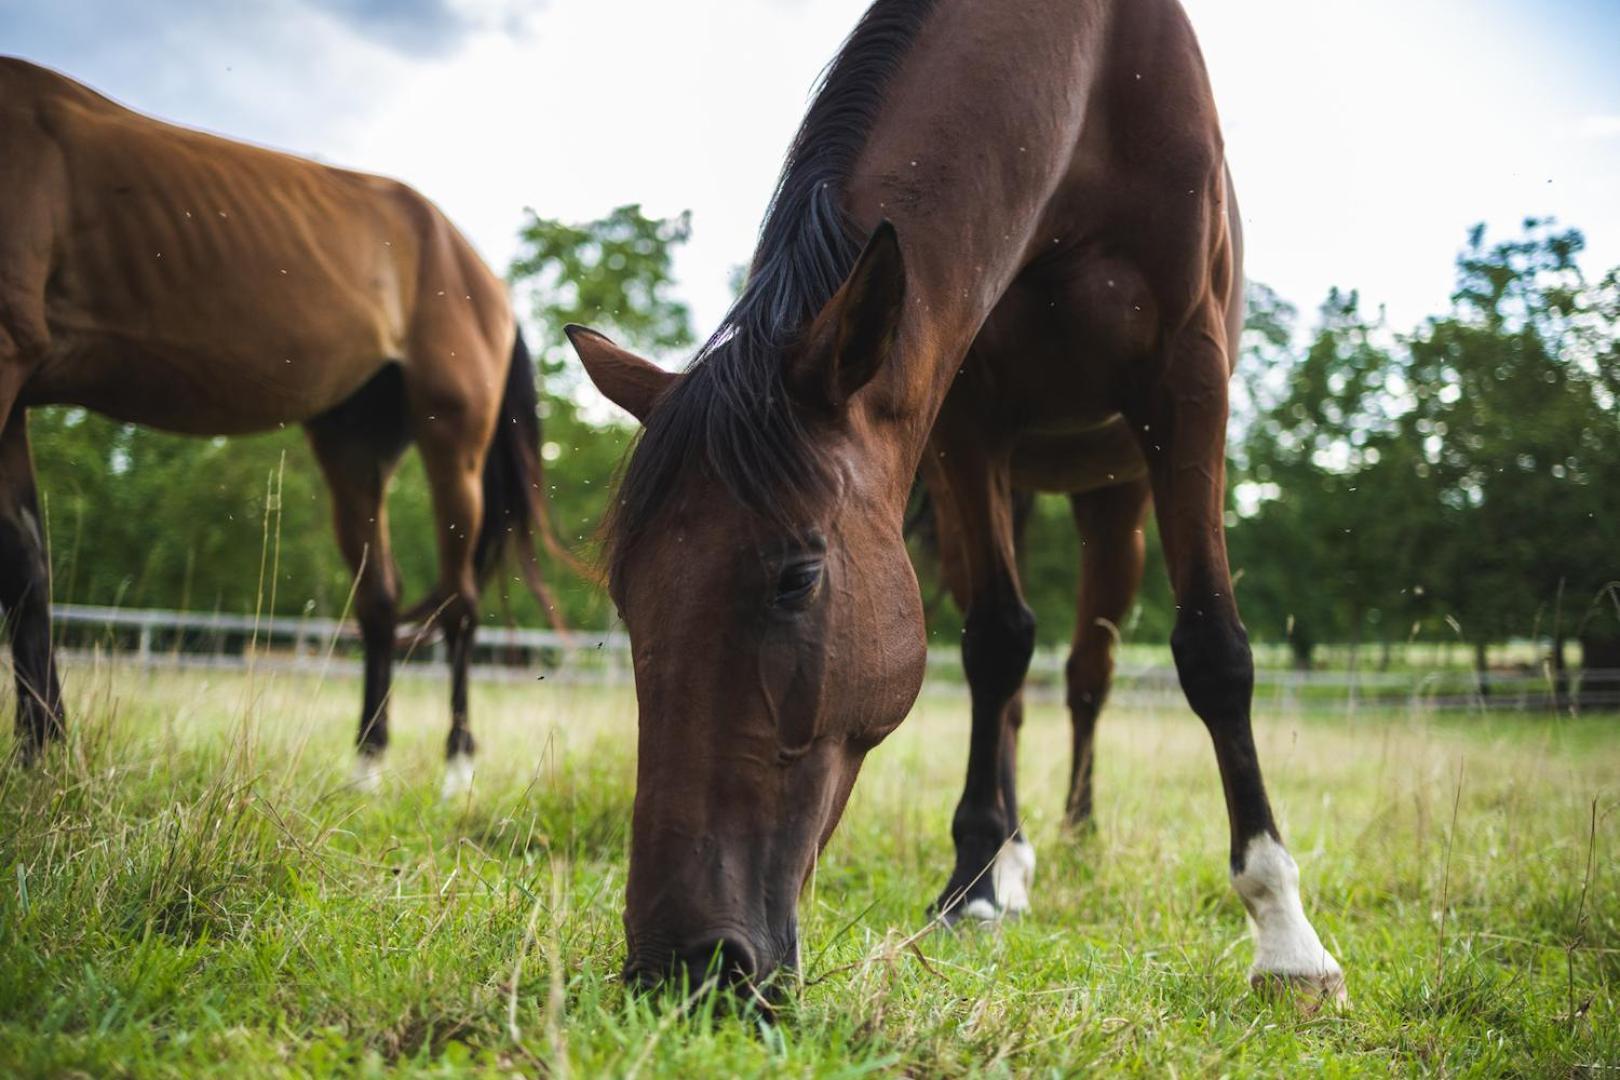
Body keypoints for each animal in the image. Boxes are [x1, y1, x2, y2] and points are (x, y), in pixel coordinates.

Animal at [0, 59, 570, 793]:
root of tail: (488, 279)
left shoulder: (5, 357)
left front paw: (38, 760)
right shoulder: (15, 401)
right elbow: (28, 565)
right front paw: (39, 758)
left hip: (454, 445)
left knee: (460, 605)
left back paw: (456, 772)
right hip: (354, 448)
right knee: (380, 600)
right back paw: (365, 770)